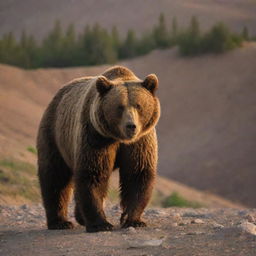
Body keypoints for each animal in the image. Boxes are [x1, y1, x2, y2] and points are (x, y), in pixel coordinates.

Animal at [36, 65, 160, 232]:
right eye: (120, 107)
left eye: (138, 105)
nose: (131, 126)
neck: (118, 138)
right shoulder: (96, 136)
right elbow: (93, 173)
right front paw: (101, 224)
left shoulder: (140, 142)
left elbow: (137, 174)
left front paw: (133, 220)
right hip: (54, 134)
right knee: (55, 176)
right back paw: (61, 222)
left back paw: (79, 217)